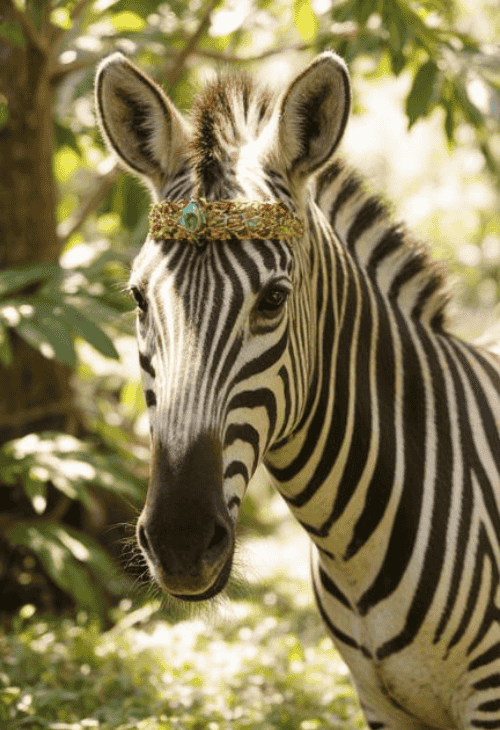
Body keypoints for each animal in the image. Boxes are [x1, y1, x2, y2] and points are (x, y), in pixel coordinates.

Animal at [95, 50, 500, 730]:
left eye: (274, 300)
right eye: (138, 299)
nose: (181, 544)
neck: (353, 547)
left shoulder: (488, 696)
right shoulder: (379, 701)